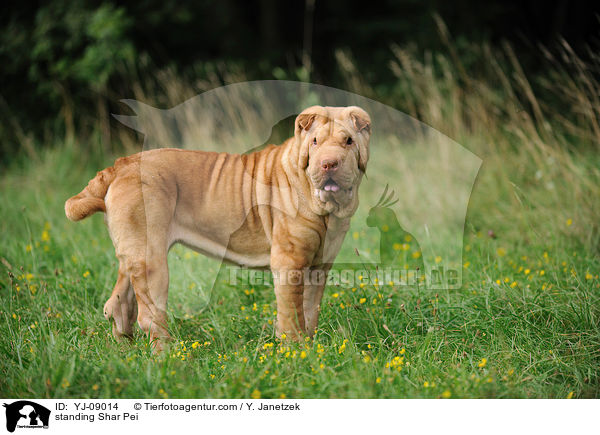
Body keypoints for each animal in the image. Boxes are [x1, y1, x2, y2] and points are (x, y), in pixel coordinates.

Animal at [63, 105, 368, 350]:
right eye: (315, 142)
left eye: (349, 141)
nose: (329, 163)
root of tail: (120, 165)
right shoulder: (289, 262)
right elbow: (291, 311)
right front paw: (295, 350)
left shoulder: (318, 266)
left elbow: (309, 309)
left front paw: (310, 347)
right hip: (151, 260)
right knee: (149, 315)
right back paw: (170, 357)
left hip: (135, 254)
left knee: (118, 302)